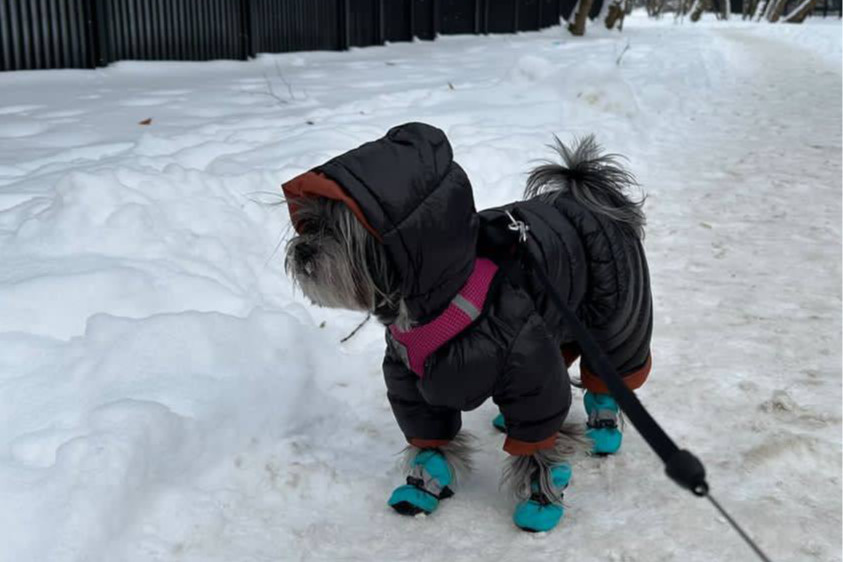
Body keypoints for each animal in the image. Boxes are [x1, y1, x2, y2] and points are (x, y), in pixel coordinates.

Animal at [282, 122, 652, 528]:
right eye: (309, 224)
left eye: (337, 231)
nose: (302, 250)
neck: (440, 300)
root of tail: (586, 195)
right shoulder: (410, 382)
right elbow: (429, 438)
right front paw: (422, 485)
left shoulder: (529, 358)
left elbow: (539, 435)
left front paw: (541, 497)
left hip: (616, 322)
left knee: (608, 376)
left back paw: (603, 430)